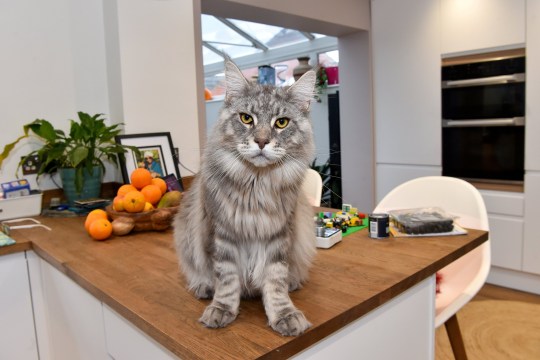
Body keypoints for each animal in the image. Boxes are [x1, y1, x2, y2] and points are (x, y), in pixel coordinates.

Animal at [174, 59, 316, 338]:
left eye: (281, 123)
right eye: (246, 119)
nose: (261, 141)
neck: (256, 185)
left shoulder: (279, 234)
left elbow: (275, 281)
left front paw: (284, 315)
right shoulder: (222, 233)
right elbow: (226, 279)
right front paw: (221, 309)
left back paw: (293, 283)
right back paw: (203, 288)